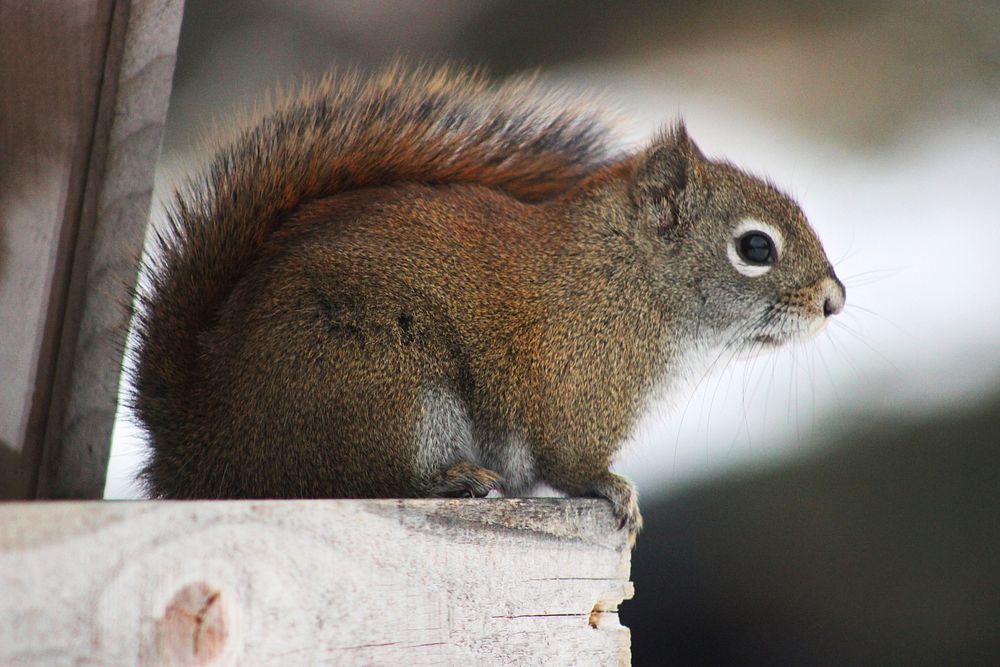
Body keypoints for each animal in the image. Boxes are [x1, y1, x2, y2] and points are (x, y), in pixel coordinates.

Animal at [129, 64, 840, 544]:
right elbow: (574, 464)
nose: (834, 301)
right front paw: (617, 492)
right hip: (377, 386)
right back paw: (452, 481)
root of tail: (199, 444)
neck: (629, 280)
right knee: (345, 480)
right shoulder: (581, 389)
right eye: (755, 247)